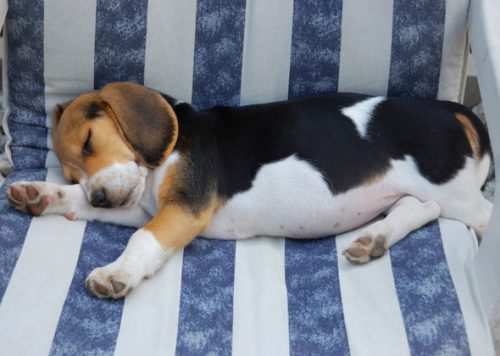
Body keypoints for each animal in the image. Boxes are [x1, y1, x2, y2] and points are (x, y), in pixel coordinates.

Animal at [7, 82, 492, 298]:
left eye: (90, 143)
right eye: (72, 175)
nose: (101, 197)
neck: (170, 150)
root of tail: (450, 110)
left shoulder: (183, 209)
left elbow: (141, 241)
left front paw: (115, 273)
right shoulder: (146, 206)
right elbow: (95, 210)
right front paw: (40, 194)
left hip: (459, 195)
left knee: (473, 213)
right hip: (432, 195)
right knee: (418, 209)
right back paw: (373, 239)